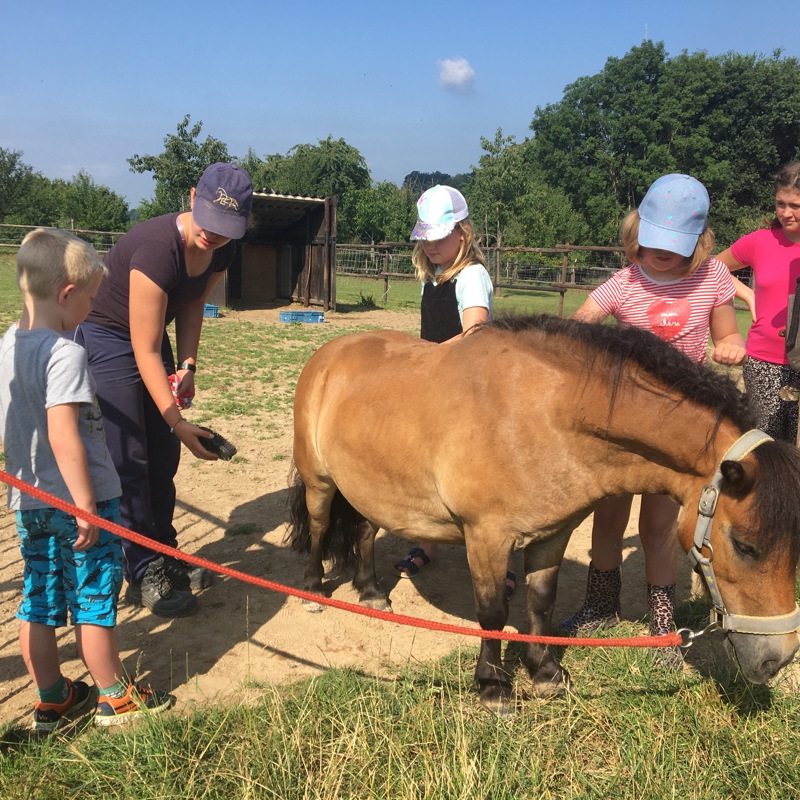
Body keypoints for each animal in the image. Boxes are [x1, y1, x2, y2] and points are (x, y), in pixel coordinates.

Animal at [288, 316, 800, 708]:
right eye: (744, 545)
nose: (777, 659)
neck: (540, 415)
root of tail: (330, 352)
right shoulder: (486, 537)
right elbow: (493, 612)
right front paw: (493, 687)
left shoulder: (552, 533)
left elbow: (540, 603)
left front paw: (546, 673)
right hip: (320, 482)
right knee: (319, 526)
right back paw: (312, 589)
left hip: (370, 485)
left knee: (364, 532)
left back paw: (372, 591)